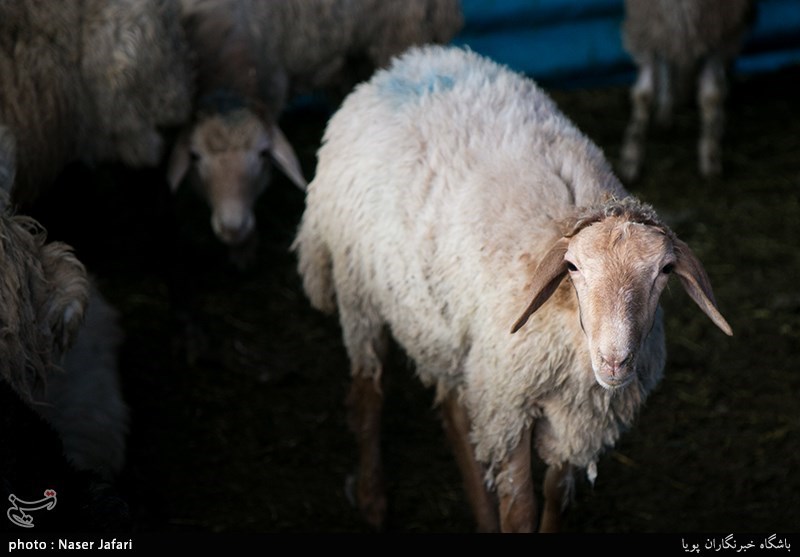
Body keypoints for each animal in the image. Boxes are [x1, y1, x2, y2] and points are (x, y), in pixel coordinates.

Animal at [292, 45, 733, 532]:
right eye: (573, 267)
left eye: (664, 270)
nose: (615, 360)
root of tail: (407, 62)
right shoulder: (508, 405)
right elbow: (521, 510)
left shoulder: (574, 419)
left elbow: (554, 497)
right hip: (360, 293)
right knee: (369, 391)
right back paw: (372, 498)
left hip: (447, 331)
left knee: (452, 408)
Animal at [619, 0, 755, 182]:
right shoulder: (646, 33)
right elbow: (644, 96)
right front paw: (631, 157)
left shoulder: (719, 40)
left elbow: (711, 96)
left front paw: (710, 155)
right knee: (668, 65)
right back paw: (664, 114)